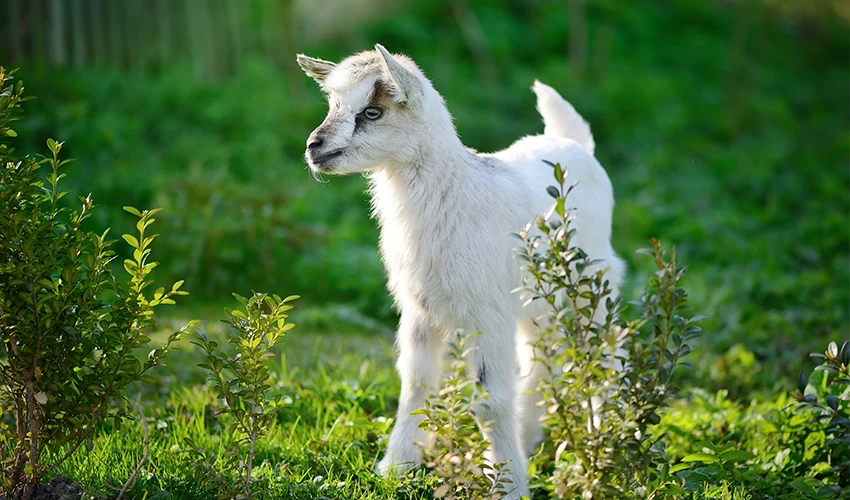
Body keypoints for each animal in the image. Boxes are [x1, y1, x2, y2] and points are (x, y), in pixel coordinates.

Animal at [298, 45, 624, 498]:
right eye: (333, 105)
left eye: (373, 112)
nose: (314, 147)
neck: (454, 194)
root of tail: (573, 142)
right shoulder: (420, 310)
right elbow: (416, 385)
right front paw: (396, 468)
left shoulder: (486, 314)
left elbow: (489, 400)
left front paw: (508, 486)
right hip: (536, 300)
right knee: (540, 358)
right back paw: (529, 438)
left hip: (592, 283)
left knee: (606, 353)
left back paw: (608, 441)